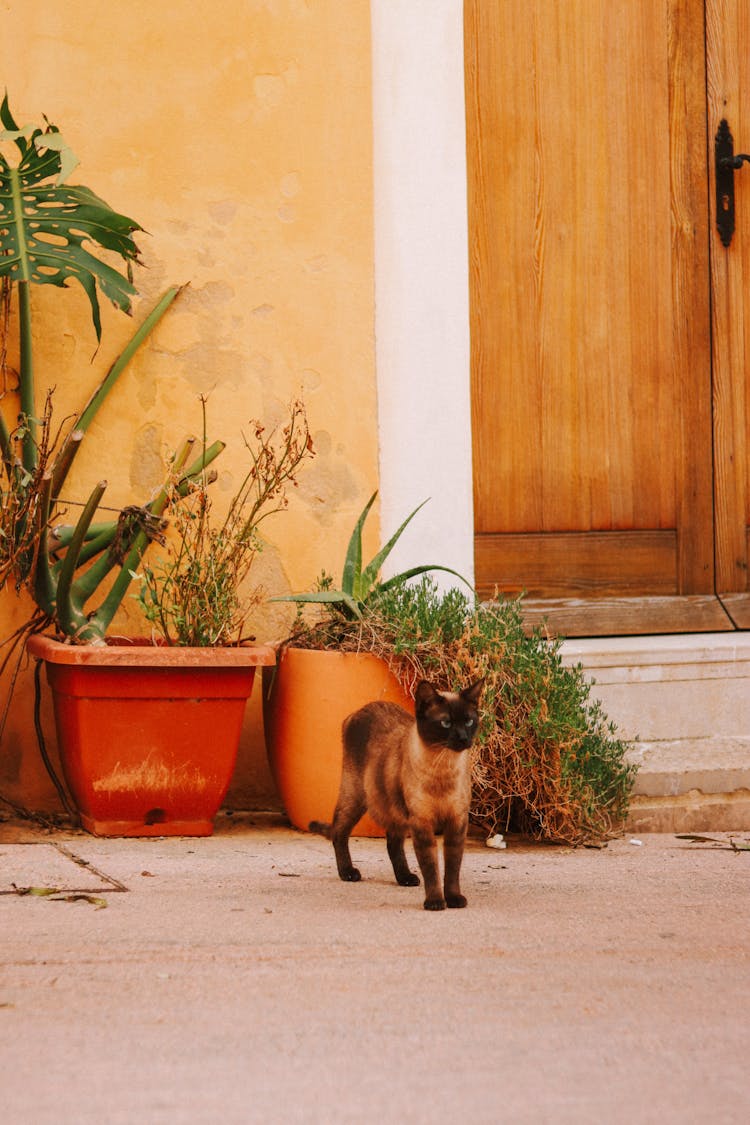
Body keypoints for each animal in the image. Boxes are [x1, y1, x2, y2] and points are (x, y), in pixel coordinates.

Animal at [314, 679, 483, 909]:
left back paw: (405, 878)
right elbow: (431, 868)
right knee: (339, 832)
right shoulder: (422, 822)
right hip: (356, 797)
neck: (443, 767)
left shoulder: (456, 822)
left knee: (392, 842)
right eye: (446, 724)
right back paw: (348, 873)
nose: (464, 738)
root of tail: (358, 711)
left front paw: (454, 899)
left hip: (395, 809)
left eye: (468, 721)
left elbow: (452, 868)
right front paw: (435, 903)